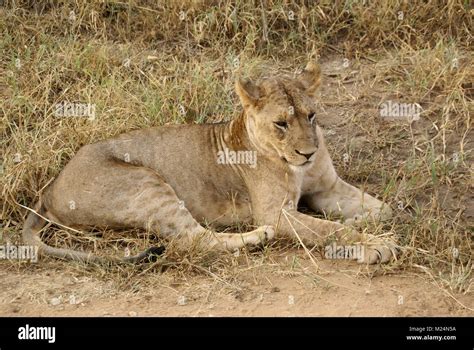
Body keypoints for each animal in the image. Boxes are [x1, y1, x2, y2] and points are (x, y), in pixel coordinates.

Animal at [24, 61, 398, 264]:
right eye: (281, 123)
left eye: (311, 116)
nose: (307, 152)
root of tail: (49, 189)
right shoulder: (276, 213)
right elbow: (331, 230)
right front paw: (375, 244)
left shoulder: (327, 188)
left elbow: (384, 210)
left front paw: (377, 221)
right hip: (145, 184)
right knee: (194, 239)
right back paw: (258, 237)